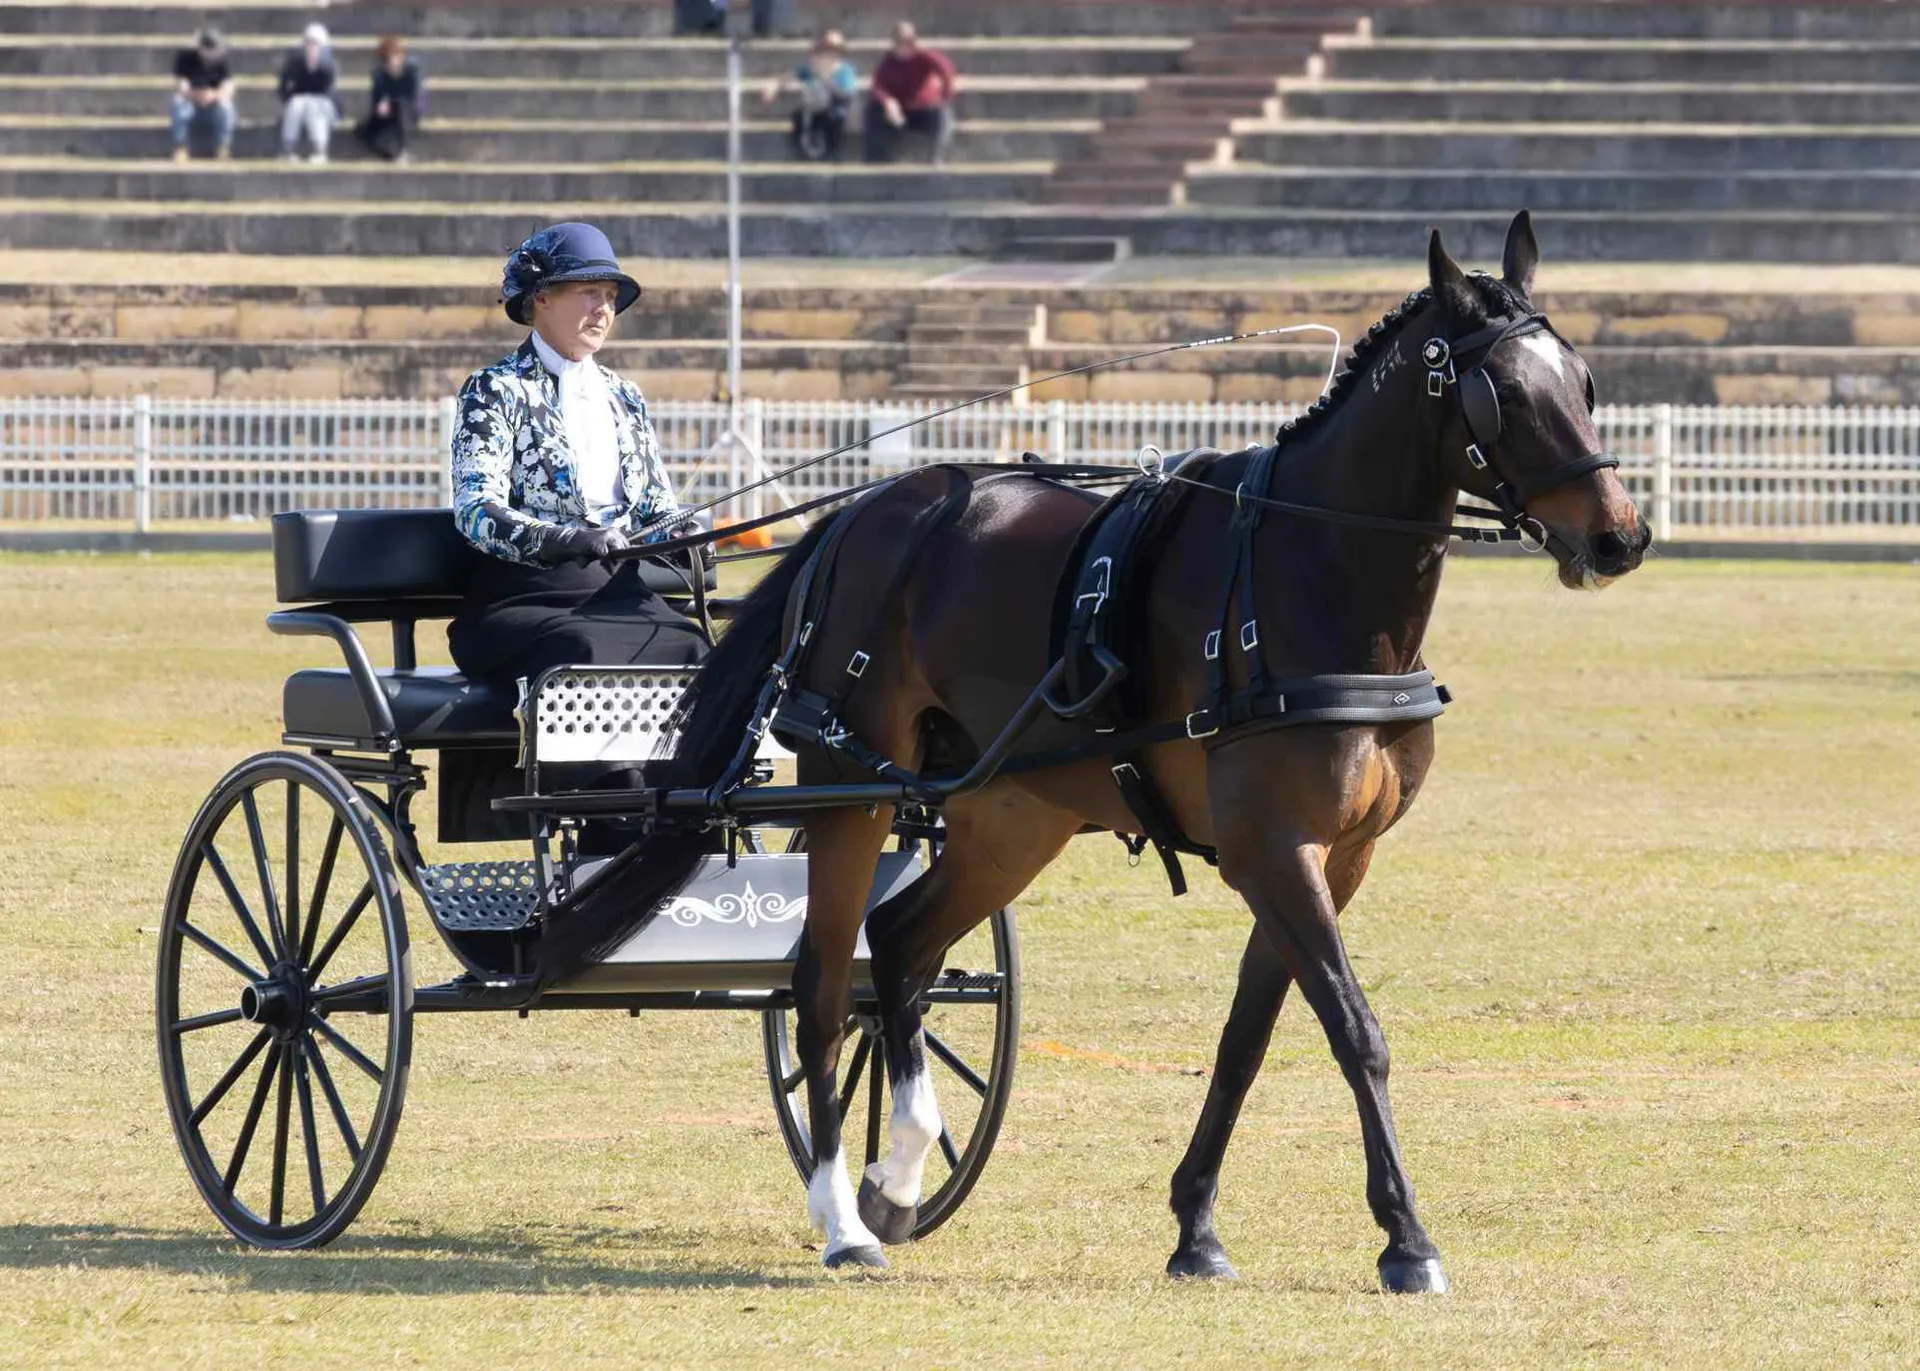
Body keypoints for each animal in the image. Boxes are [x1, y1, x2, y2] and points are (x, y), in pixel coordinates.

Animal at [544, 212, 1651, 1291]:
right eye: (1506, 394)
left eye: (1586, 382)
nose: (1620, 539)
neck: (1311, 575)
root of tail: (864, 511)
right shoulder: (1273, 849)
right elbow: (1353, 1028)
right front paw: (1406, 1237)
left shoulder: (1335, 857)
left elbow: (1248, 1037)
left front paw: (1196, 1225)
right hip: (852, 790)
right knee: (821, 983)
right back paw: (843, 1218)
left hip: (1009, 815)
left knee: (897, 946)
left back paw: (898, 1173)